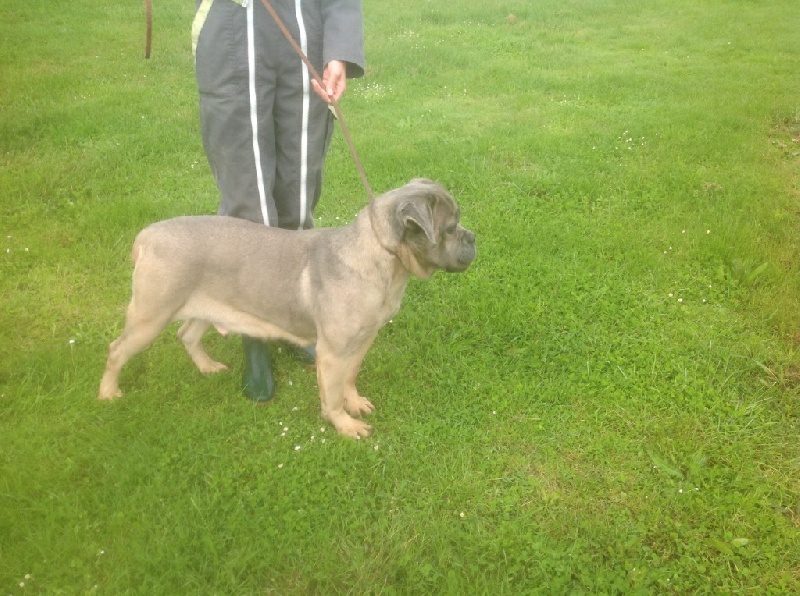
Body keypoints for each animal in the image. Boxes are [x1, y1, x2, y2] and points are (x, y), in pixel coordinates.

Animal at [98, 178, 476, 437]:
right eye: (449, 228)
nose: (473, 237)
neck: (382, 255)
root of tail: (146, 236)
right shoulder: (334, 352)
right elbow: (332, 393)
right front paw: (344, 425)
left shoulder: (361, 341)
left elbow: (350, 377)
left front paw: (354, 403)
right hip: (150, 315)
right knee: (117, 350)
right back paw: (108, 392)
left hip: (207, 307)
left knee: (187, 334)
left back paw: (207, 367)